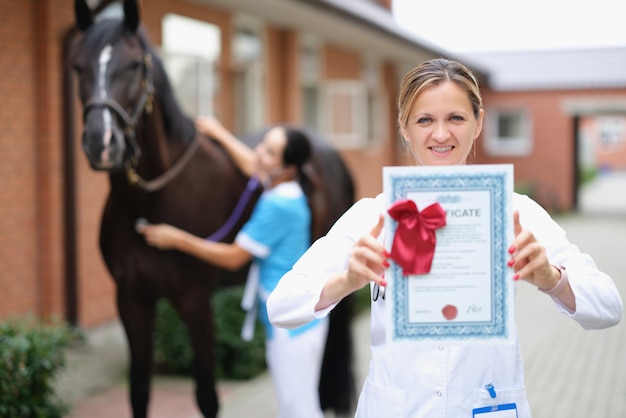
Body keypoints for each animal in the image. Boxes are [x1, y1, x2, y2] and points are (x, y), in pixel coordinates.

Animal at [70, 0, 354, 418]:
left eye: (135, 64)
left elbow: (206, 396)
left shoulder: (196, 301)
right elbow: (138, 391)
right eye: (77, 65)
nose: (101, 142)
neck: (149, 204)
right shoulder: (132, 300)